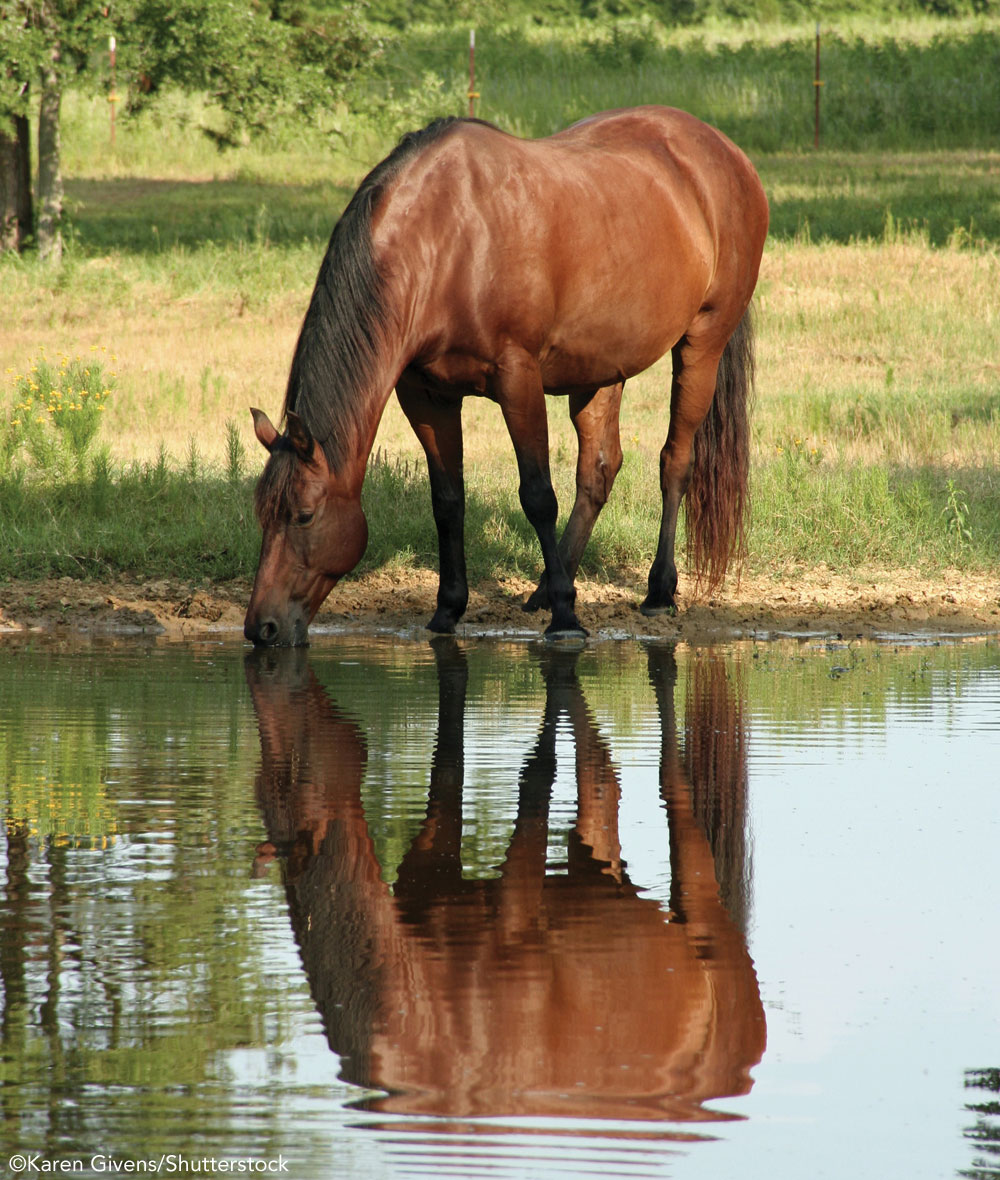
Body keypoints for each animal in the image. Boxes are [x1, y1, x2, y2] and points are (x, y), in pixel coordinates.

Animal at [244, 107, 774, 646]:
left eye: (303, 515)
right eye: (260, 512)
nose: (262, 627)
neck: (446, 241)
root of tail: (724, 152)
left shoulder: (518, 378)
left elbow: (538, 496)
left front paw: (566, 618)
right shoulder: (426, 395)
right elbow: (448, 501)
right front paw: (448, 610)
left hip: (702, 343)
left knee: (675, 462)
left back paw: (658, 591)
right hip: (602, 368)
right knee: (599, 470)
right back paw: (547, 586)